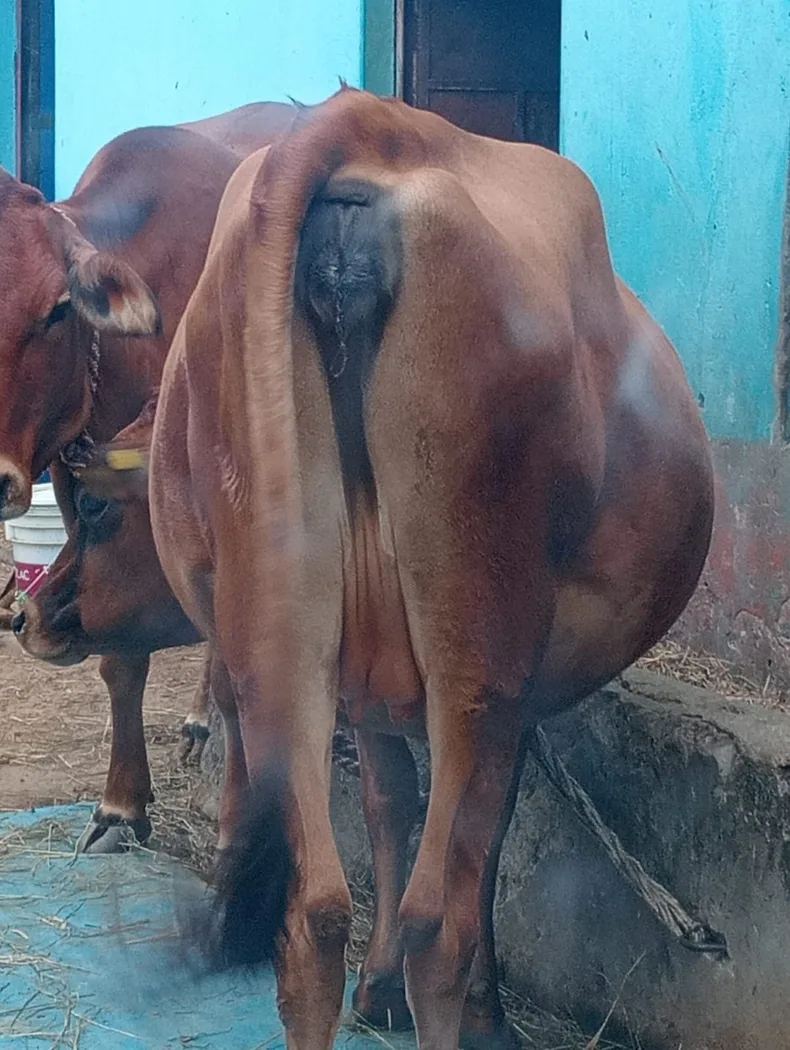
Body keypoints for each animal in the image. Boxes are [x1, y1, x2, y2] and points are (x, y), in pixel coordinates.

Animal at [144, 86, 713, 1050]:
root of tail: (366, 123)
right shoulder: (516, 693)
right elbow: (485, 845)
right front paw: (480, 1010)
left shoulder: (364, 684)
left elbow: (387, 801)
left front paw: (376, 991)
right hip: (476, 653)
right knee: (436, 919)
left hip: (281, 649)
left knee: (312, 913)